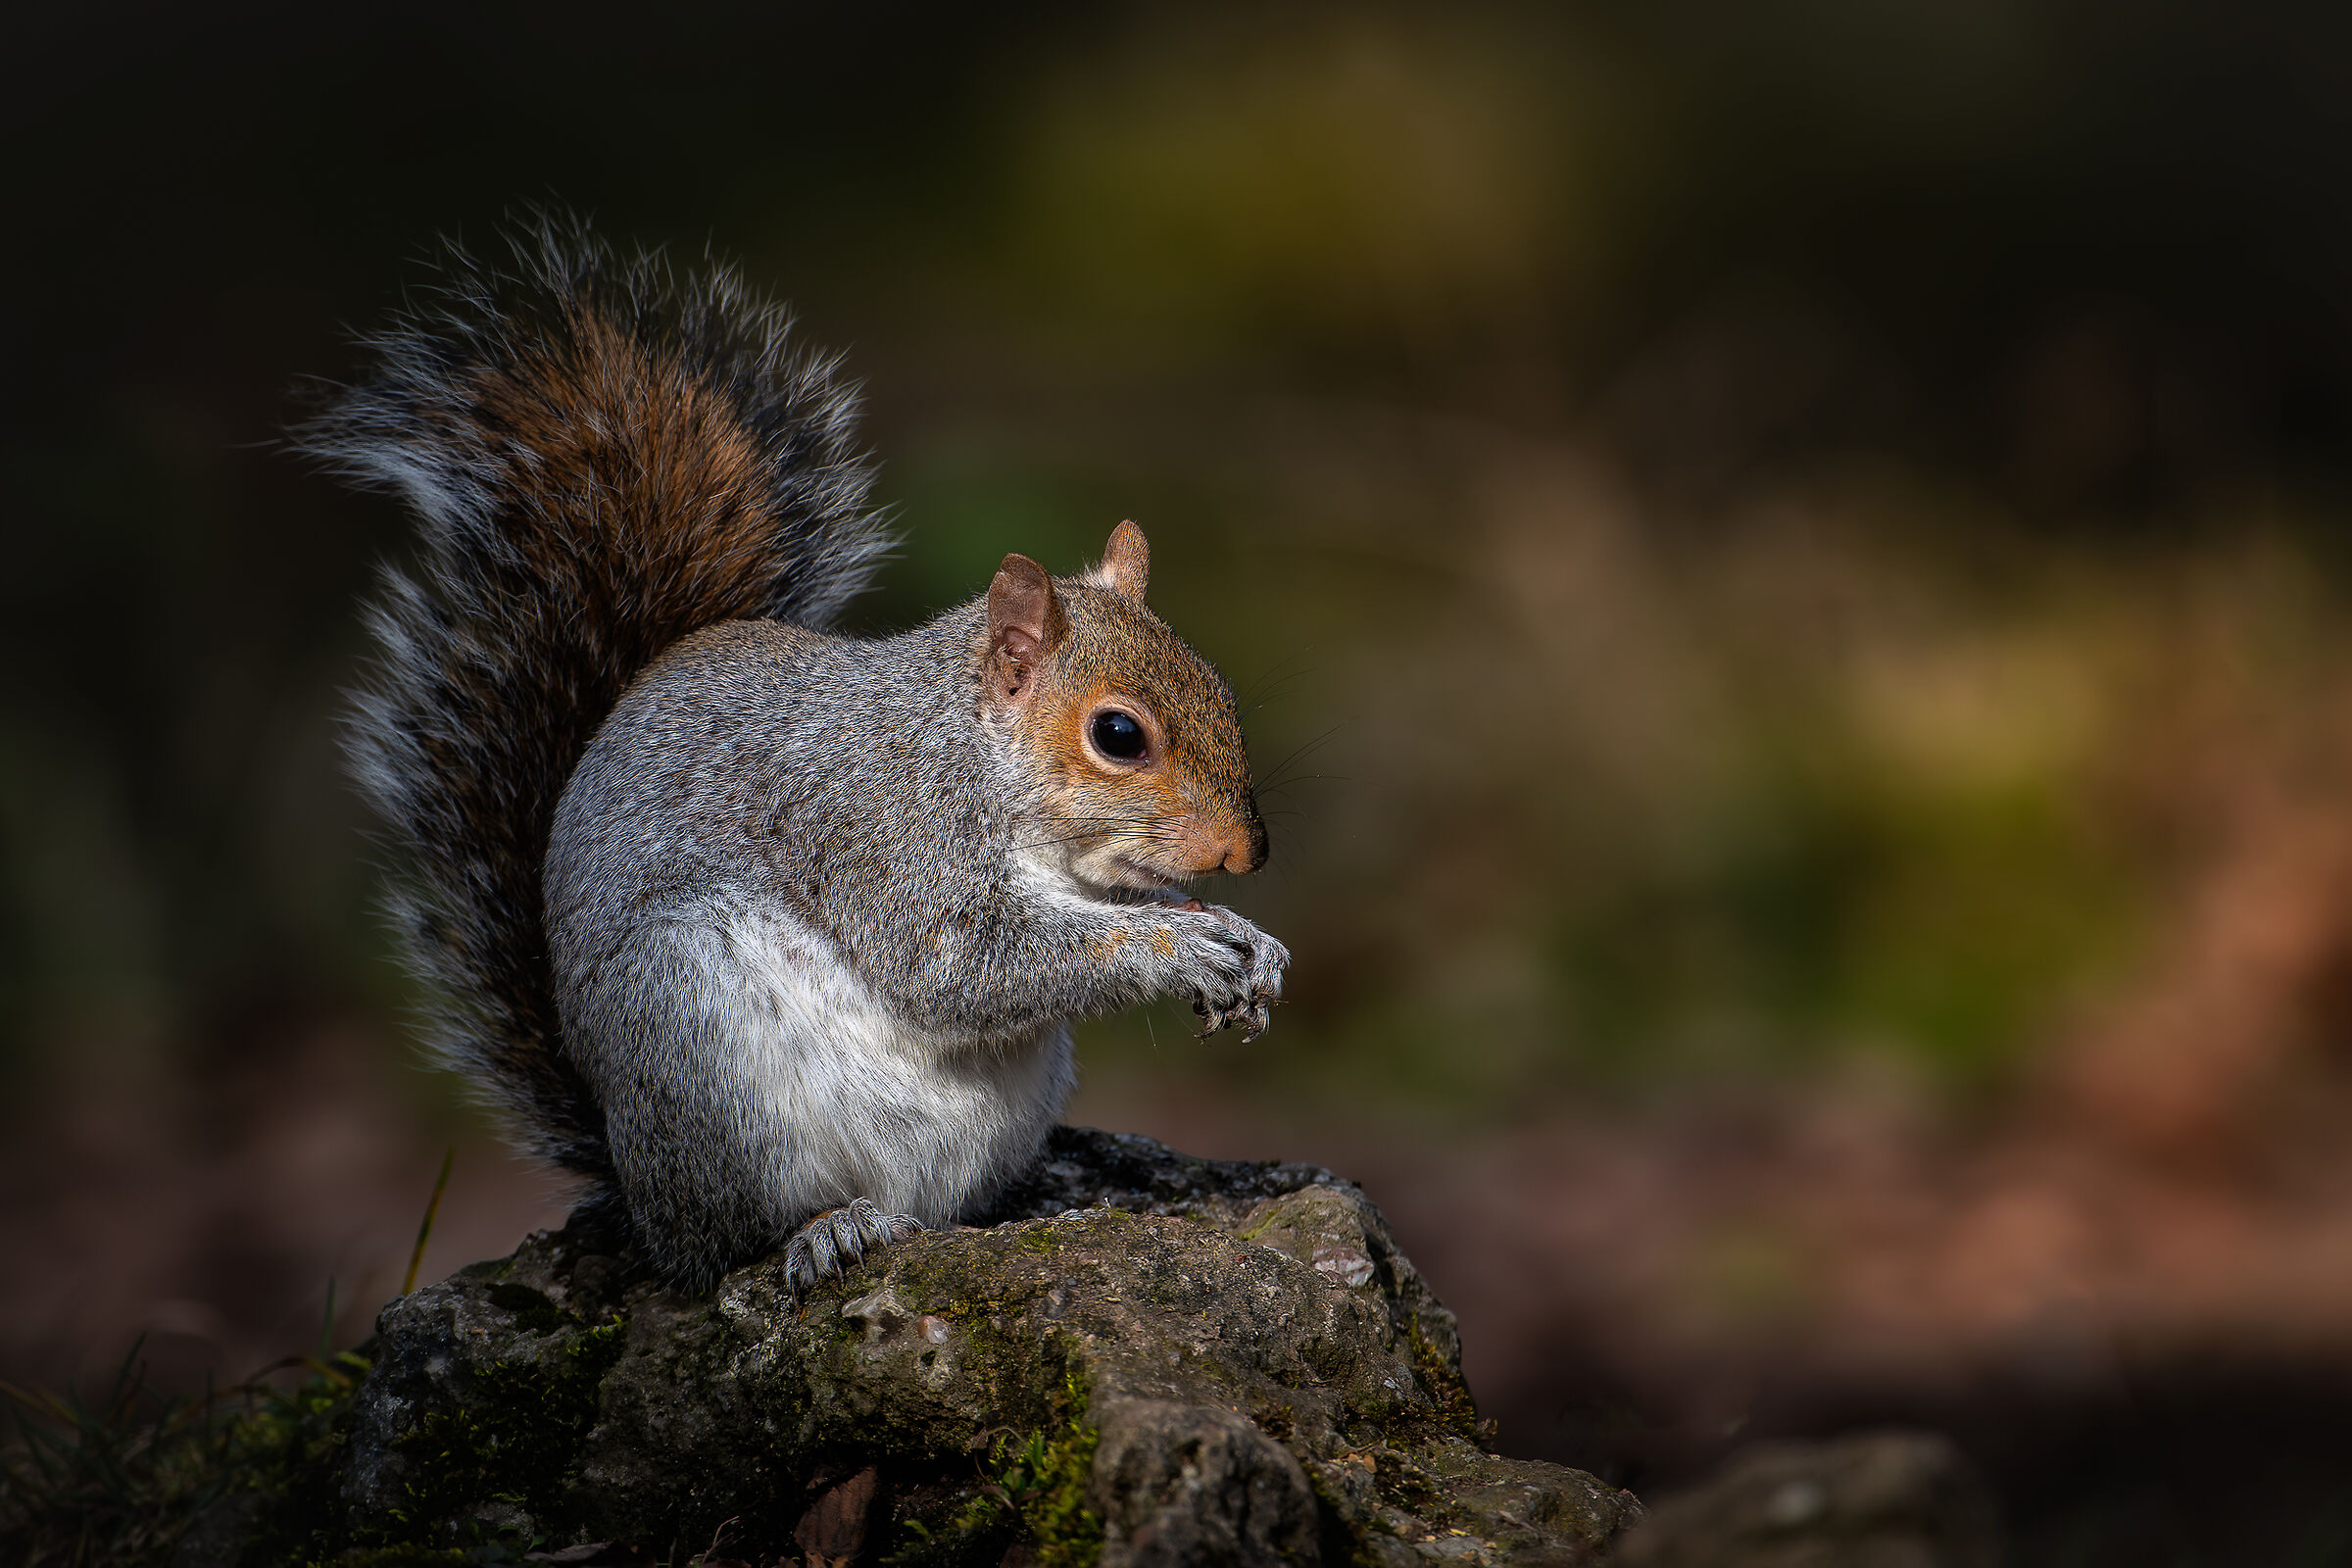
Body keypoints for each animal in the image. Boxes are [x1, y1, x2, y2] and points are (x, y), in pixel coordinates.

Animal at [301, 220, 1290, 1295]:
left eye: (1218, 684)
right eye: (1119, 735)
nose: (1247, 852)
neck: (973, 755)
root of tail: (636, 1184)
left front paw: (1248, 945)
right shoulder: (886, 835)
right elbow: (960, 967)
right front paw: (1178, 946)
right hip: (697, 1037)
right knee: (733, 1240)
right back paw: (824, 1231)